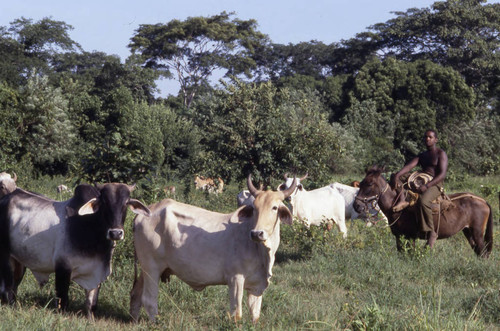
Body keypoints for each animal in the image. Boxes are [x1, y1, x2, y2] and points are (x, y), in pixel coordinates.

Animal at [0, 184, 150, 320]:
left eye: (126, 203)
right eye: (104, 202)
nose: (115, 233)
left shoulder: (97, 272)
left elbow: (91, 304)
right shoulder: (63, 267)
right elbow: (62, 301)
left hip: (19, 262)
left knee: (13, 288)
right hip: (6, 258)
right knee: (7, 289)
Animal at [129, 175, 296, 326]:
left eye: (274, 207)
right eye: (254, 208)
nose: (256, 233)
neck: (261, 251)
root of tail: (144, 213)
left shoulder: (256, 286)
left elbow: (255, 316)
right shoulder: (235, 278)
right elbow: (237, 314)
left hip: (146, 270)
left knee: (136, 293)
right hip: (151, 268)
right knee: (149, 300)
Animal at [354, 167, 494, 258]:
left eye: (370, 184)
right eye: (360, 183)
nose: (357, 205)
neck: (397, 206)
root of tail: (483, 201)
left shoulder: (409, 236)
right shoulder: (400, 236)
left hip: (477, 232)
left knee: (483, 252)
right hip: (467, 231)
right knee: (478, 251)